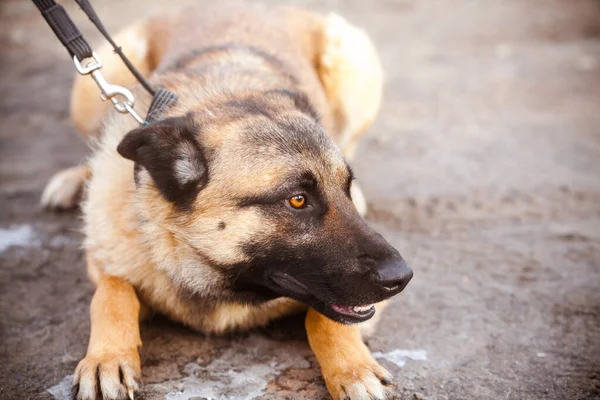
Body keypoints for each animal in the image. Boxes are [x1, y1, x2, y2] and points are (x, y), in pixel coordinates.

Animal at [41, 1, 412, 398]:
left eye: (344, 187)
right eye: (297, 200)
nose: (403, 278)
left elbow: (324, 318)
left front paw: (353, 369)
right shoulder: (105, 261)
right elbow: (112, 291)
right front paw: (107, 358)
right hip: (91, 87)